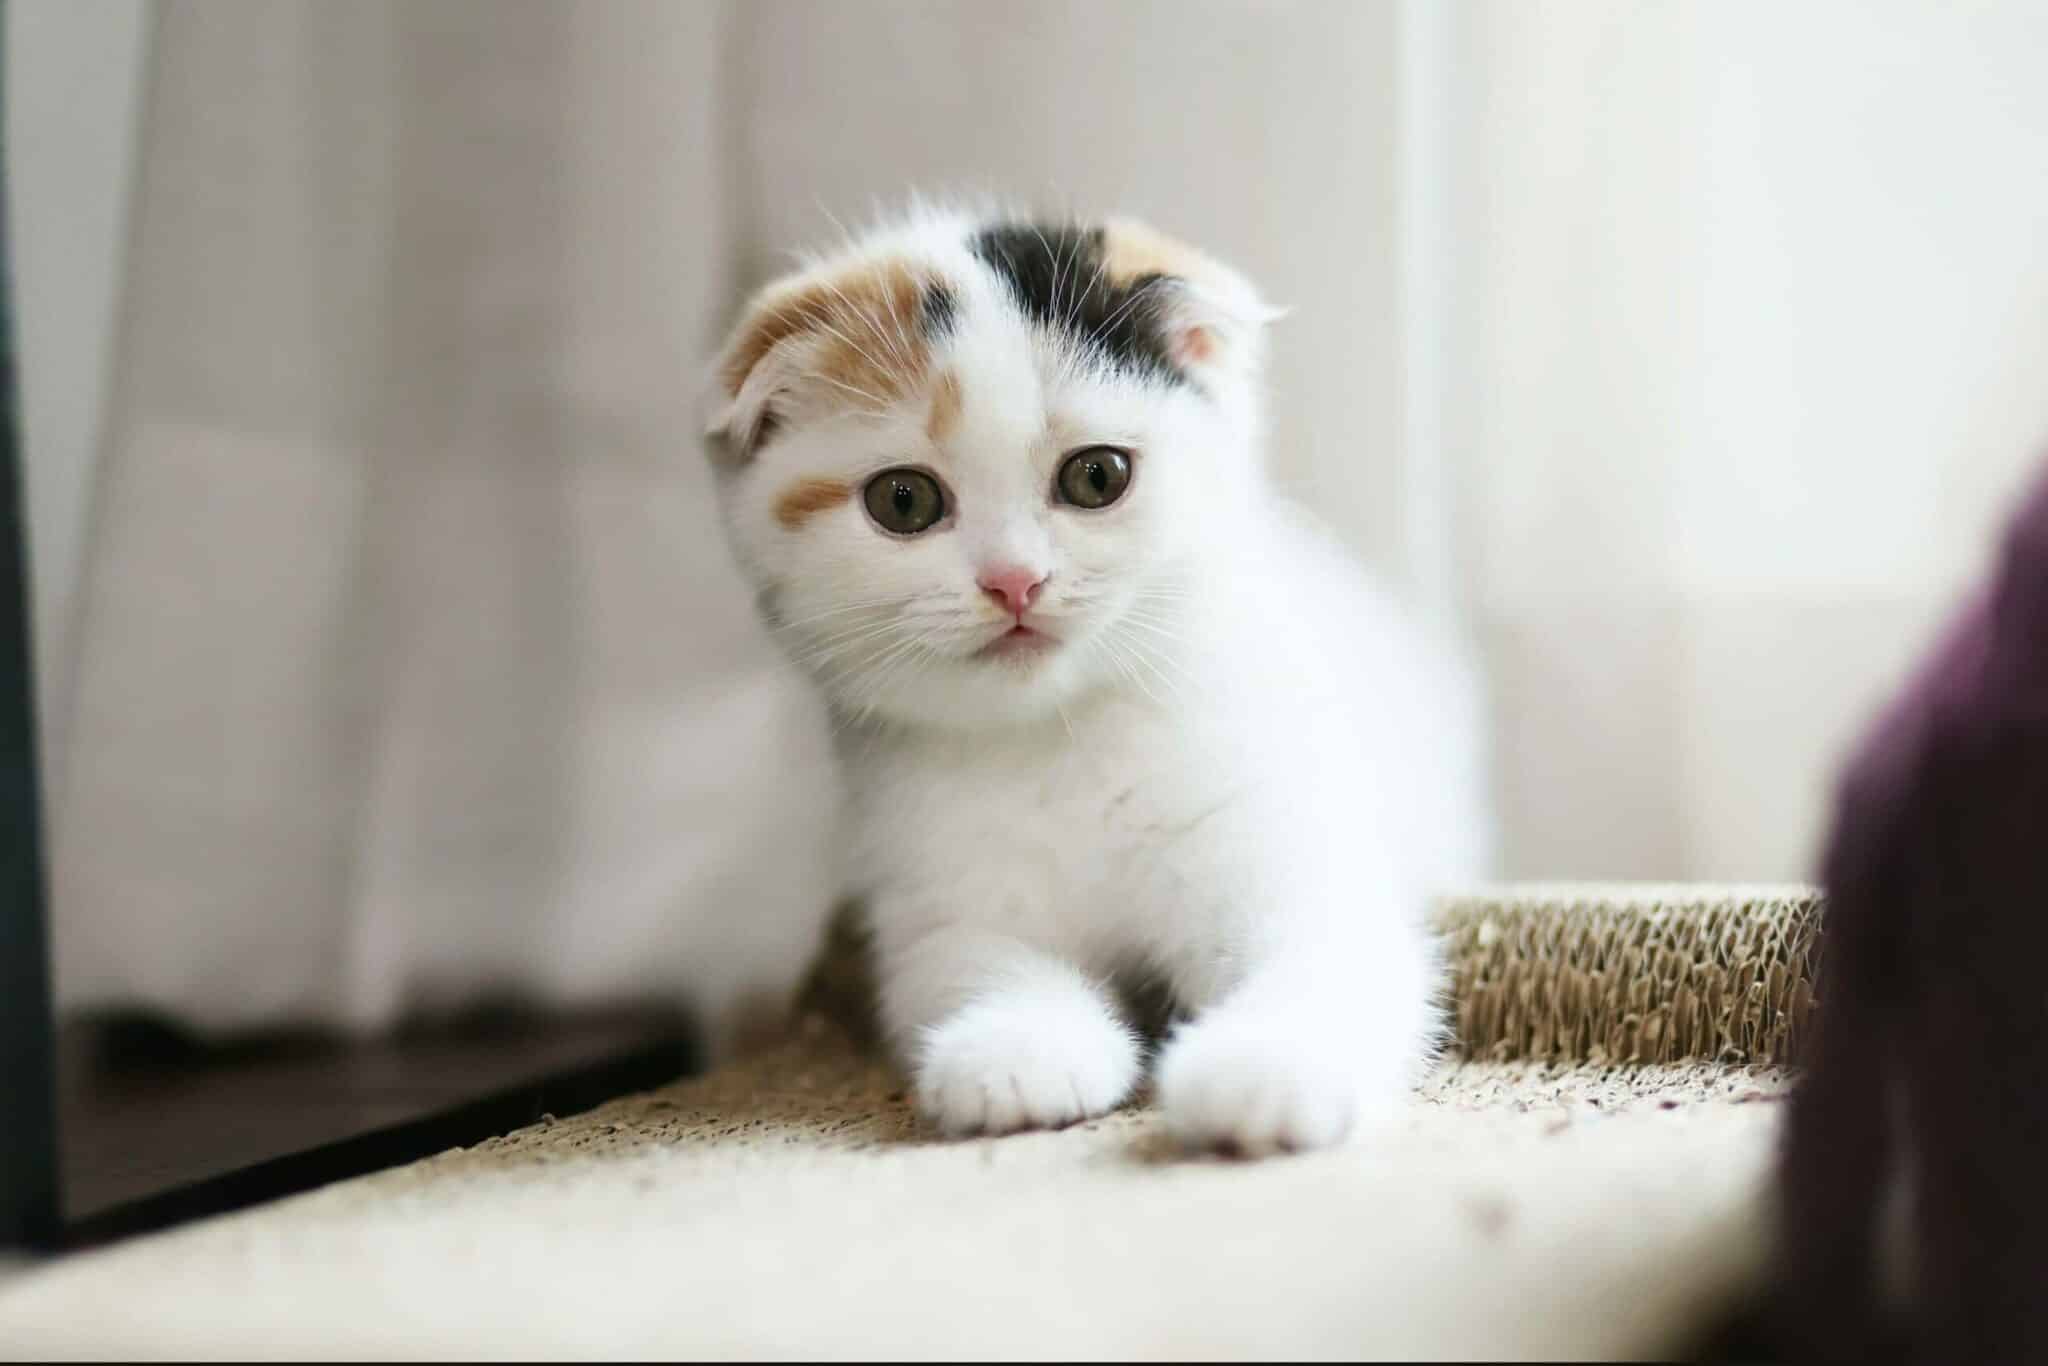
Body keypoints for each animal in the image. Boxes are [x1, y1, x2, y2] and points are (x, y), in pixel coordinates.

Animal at [704, 205, 1490, 1155]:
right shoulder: (937, 896)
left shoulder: (1277, 835)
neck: (1062, 740)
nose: (1014, 581)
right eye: (904, 501)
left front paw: (1266, 1070)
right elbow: (979, 964)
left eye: (1096, 476)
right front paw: (1019, 1051)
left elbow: (1326, 953)